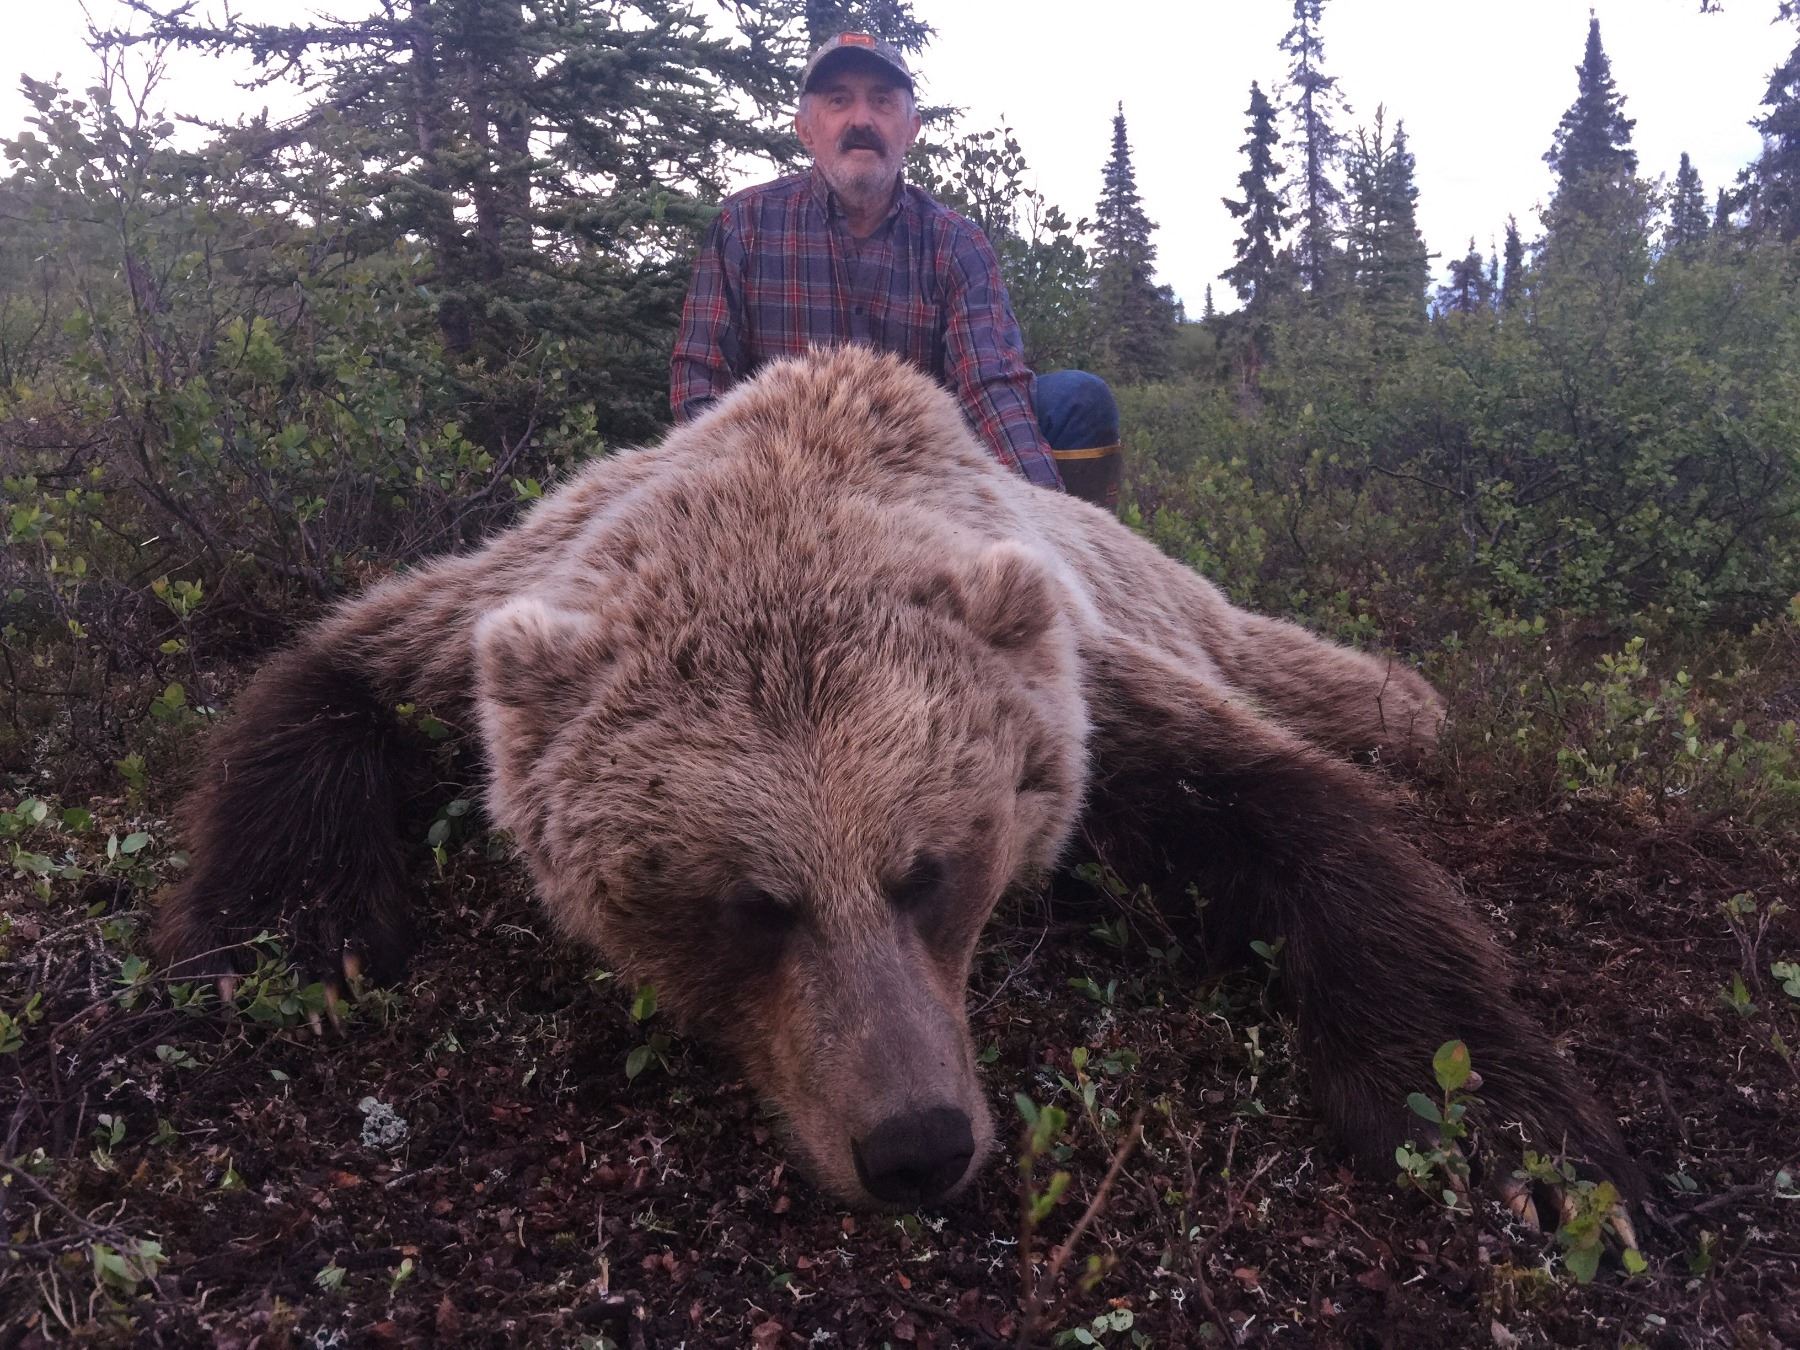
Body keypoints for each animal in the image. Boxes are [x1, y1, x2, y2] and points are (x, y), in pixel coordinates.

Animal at [157, 345, 1638, 1221]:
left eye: (930, 868)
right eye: (752, 903)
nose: (919, 1145)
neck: (793, 472)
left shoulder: (1084, 686)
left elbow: (1294, 814)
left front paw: (1496, 1126)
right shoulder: (497, 600)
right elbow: (331, 677)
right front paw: (290, 933)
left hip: (1196, 607)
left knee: (1351, 690)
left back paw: (1408, 699)